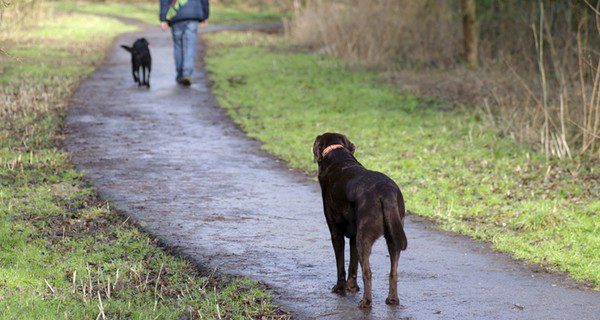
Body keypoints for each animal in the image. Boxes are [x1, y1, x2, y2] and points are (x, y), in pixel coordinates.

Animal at [314, 132, 408, 308]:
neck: (338, 155)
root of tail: (385, 192)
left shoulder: (336, 233)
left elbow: (341, 265)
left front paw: (340, 288)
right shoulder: (353, 236)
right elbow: (352, 265)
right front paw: (351, 287)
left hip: (364, 238)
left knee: (368, 272)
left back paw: (366, 302)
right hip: (393, 237)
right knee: (393, 271)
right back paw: (392, 299)